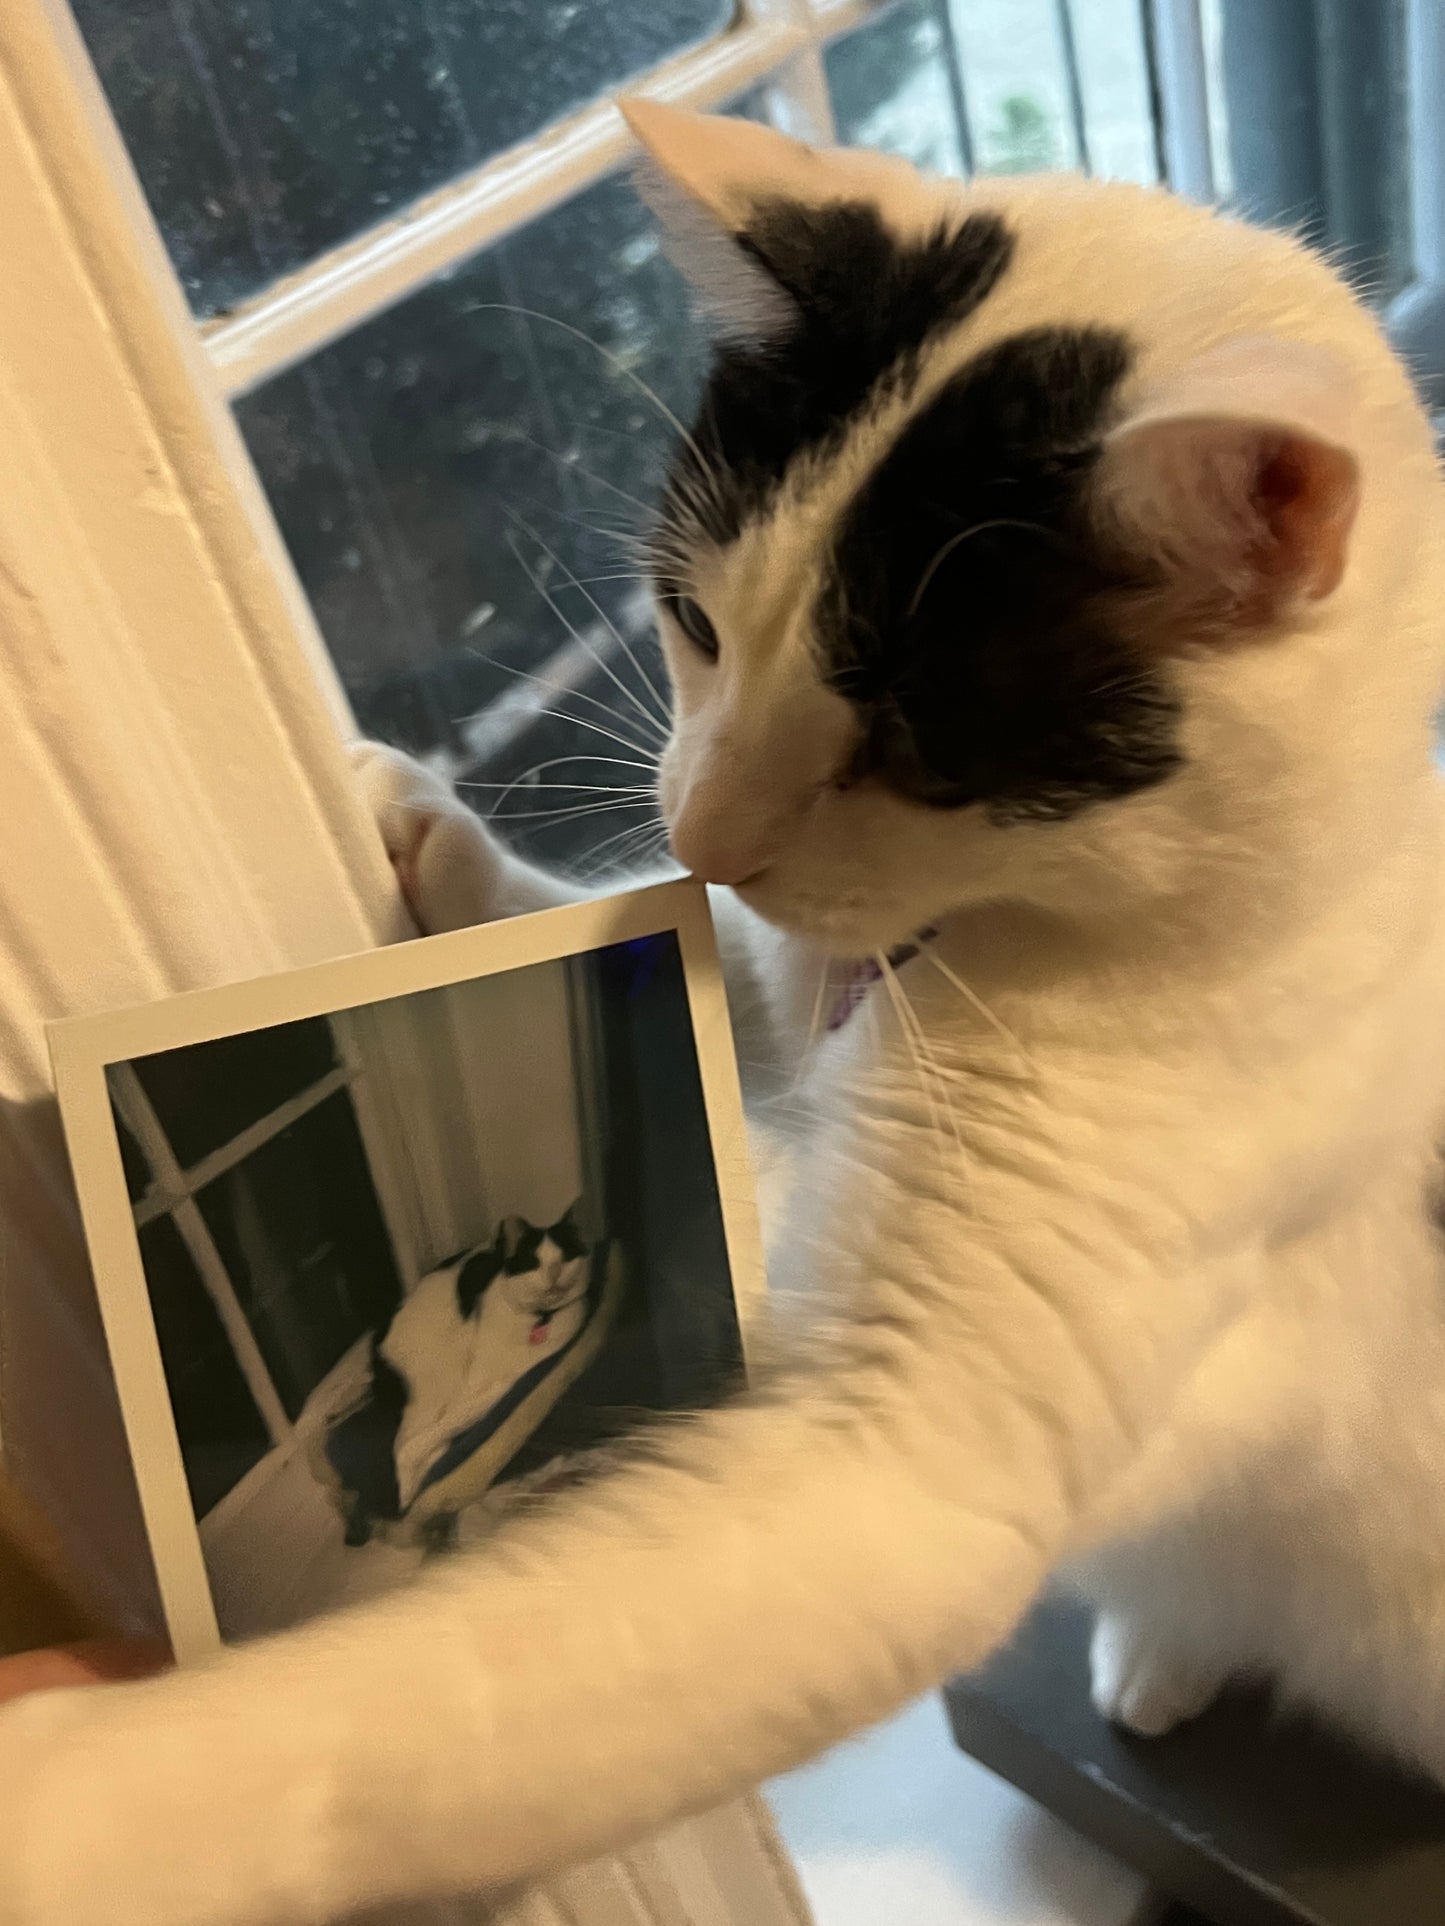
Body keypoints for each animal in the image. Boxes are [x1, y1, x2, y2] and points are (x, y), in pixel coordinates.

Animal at [2, 101, 1445, 1926]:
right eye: (692, 617)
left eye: (910, 750)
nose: (703, 833)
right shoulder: (780, 985)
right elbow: (701, 975)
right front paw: (436, 840)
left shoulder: (903, 1462)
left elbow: (432, 1701)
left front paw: (74, 1789)